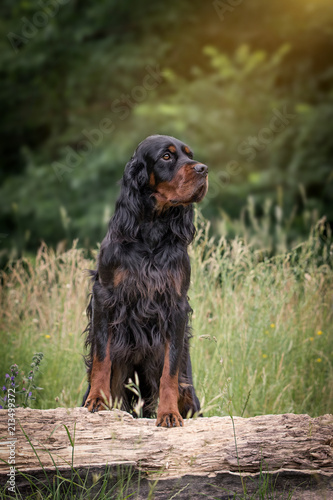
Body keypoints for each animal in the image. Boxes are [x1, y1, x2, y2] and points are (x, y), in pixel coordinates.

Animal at [82, 135, 208, 428]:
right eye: (166, 157)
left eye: (189, 155)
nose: (203, 169)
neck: (151, 231)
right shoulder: (105, 296)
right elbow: (102, 356)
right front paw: (97, 399)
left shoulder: (175, 305)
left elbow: (170, 369)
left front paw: (168, 413)